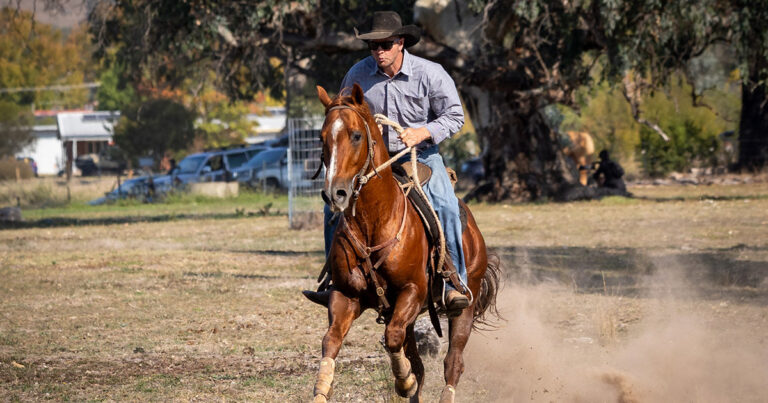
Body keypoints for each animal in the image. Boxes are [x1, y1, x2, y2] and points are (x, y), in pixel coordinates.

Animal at [311, 83, 501, 403]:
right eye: (322, 137)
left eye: (356, 135)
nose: (335, 193)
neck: (375, 222)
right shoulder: (345, 296)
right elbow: (331, 341)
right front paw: (322, 390)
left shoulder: (412, 291)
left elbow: (393, 339)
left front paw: (404, 381)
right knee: (419, 361)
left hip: (465, 303)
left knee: (453, 363)